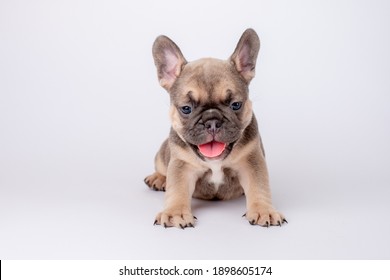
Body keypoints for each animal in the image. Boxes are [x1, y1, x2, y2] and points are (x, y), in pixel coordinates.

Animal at [145, 28, 284, 229]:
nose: (212, 121)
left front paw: (263, 210)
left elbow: (259, 186)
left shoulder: (252, 160)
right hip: (163, 153)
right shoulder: (181, 165)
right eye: (186, 108)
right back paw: (158, 178)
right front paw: (175, 213)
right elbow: (177, 189)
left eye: (236, 105)